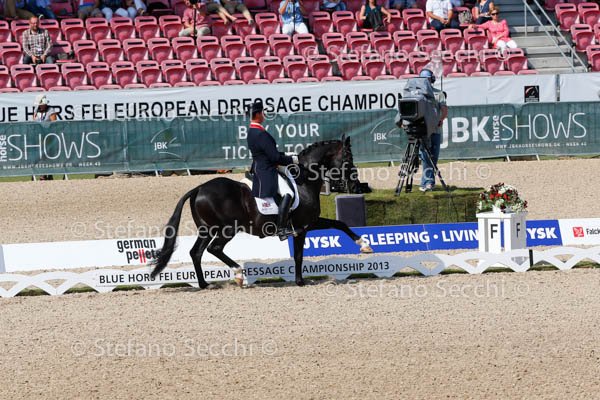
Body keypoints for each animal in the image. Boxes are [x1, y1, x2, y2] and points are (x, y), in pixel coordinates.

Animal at [150, 135, 373, 288]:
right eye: (348, 157)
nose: (355, 185)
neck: (303, 180)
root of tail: (199, 188)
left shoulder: (310, 223)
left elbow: (339, 223)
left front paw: (364, 245)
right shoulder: (301, 227)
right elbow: (299, 255)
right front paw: (300, 281)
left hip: (207, 229)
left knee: (196, 252)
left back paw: (205, 284)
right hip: (227, 229)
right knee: (214, 249)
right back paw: (239, 274)